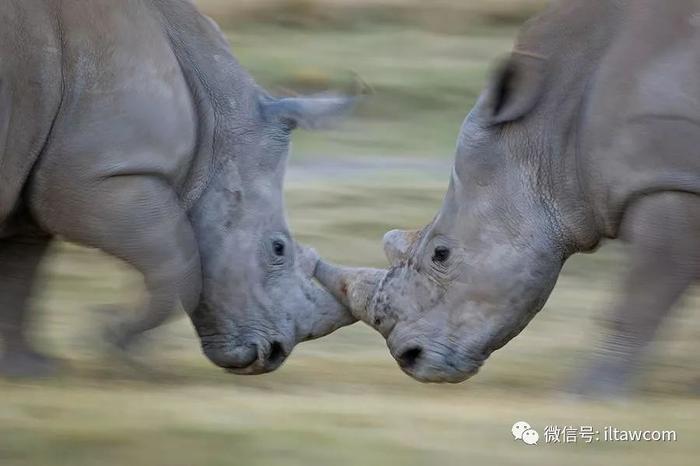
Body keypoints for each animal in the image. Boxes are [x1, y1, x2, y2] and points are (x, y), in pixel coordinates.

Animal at [0, 0, 356, 376]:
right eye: (278, 249)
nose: (273, 355)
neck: (218, 123)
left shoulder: (37, 178)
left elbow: (19, 273)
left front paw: (30, 370)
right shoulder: (94, 176)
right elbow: (178, 262)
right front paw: (111, 335)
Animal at [318, 0, 700, 396]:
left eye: (441, 254)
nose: (409, 358)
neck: (550, 132)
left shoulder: (668, 182)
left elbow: (638, 300)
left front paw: (584, 394)